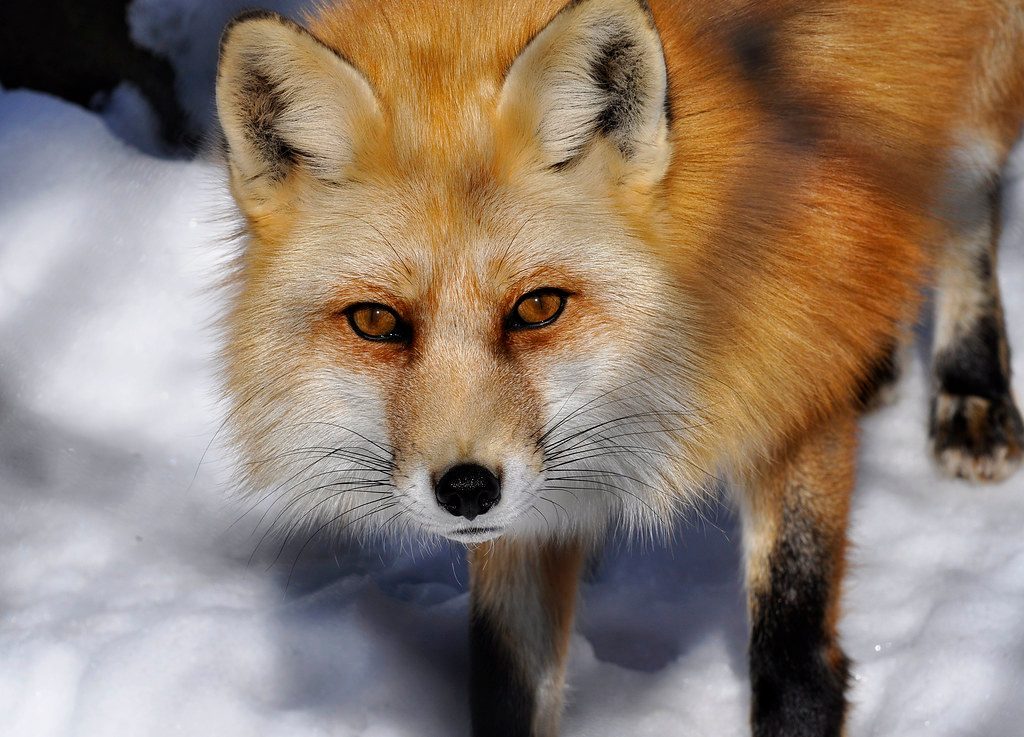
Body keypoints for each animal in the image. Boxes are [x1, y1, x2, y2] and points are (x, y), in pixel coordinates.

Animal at [213, 0, 1024, 735]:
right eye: (377, 323)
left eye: (539, 307)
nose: (467, 490)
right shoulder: (524, 504)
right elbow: (509, 687)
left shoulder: (793, 385)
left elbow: (791, 659)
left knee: (968, 208)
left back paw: (970, 389)